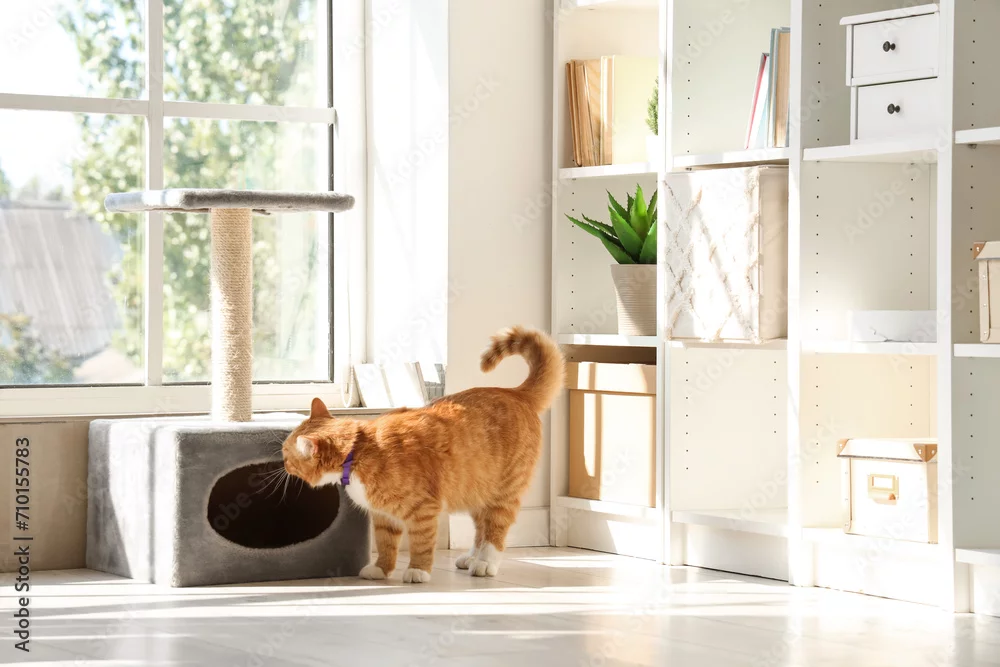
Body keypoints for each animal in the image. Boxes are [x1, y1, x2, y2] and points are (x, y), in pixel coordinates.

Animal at [282, 326, 565, 583]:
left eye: (285, 452)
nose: (282, 464)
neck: (359, 449)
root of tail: (515, 393)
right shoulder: (383, 516)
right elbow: (386, 544)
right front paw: (381, 569)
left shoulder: (424, 510)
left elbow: (421, 544)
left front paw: (417, 571)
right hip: (475, 490)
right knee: (481, 530)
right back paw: (471, 557)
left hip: (502, 493)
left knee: (495, 531)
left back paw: (485, 563)